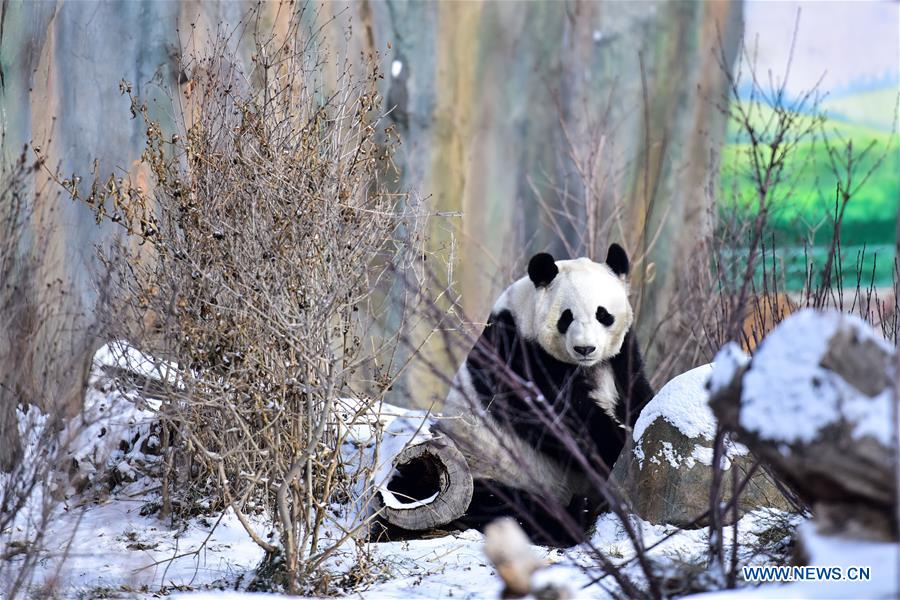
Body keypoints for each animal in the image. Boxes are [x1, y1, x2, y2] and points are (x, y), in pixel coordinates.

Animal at [436, 244, 652, 548]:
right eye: (567, 317)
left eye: (603, 314)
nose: (585, 348)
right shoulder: (518, 356)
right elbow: (561, 421)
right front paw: (616, 442)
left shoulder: (622, 356)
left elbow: (637, 392)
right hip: (483, 468)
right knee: (506, 506)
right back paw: (577, 514)